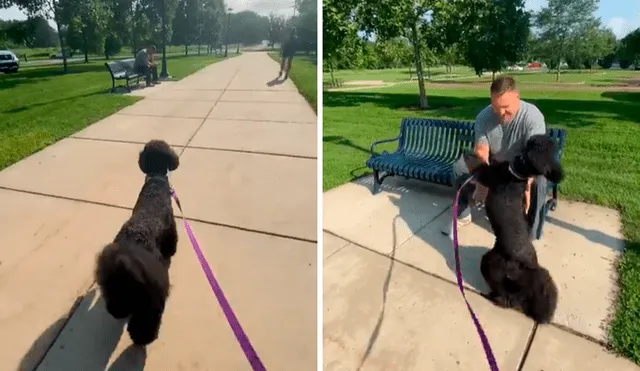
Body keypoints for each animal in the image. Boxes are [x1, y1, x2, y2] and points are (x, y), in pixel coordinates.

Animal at [95, 140, 180, 346]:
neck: (155, 177)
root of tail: (125, 262)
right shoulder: (171, 223)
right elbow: (172, 240)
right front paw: (172, 251)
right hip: (152, 300)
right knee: (147, 320)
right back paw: (144, 338)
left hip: (115, 293)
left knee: (118, 308)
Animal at [462, 135, 564, 324]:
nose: (534, 137)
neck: (518, 174)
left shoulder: (487, 174)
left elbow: (478, 165)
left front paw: (469, 154)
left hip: (491, 264)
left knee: (505, 298)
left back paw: (491, 296)